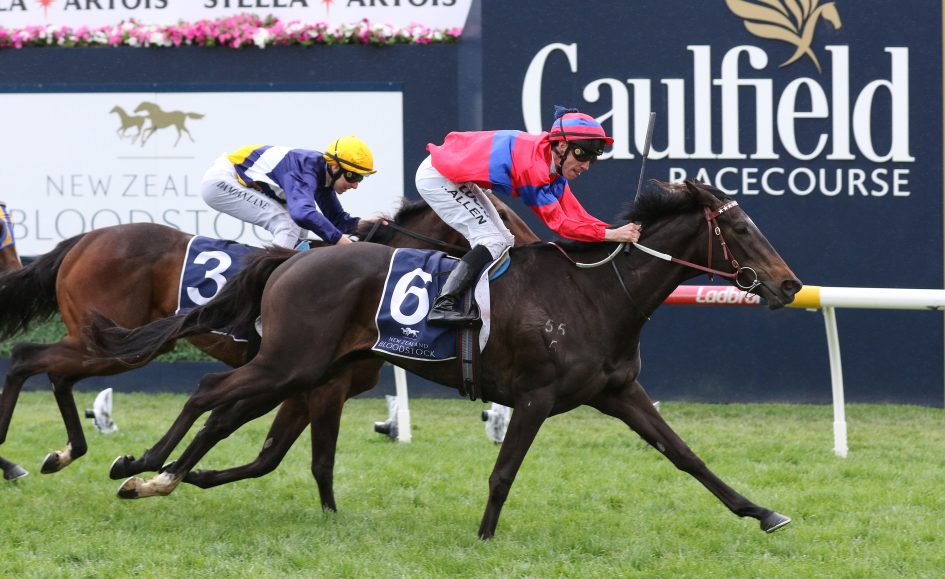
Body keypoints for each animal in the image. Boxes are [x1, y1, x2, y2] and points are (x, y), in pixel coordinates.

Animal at [0, 196, 538, 489]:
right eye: (501, 213)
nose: (533, 246)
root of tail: (83, 241)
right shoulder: (315, 383)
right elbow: (308, 458)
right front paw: (158, 468)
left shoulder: (296, 383)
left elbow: (255, 442)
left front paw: (166, 470)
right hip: (113, 344)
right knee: (28, 359)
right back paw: (14, 459)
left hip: (104, 343)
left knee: (55, 374)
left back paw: (60, 453)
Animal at [88, 180, 802, 539]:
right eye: (741, 229)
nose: (790, 285)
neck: (595, 293)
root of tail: (291, 260)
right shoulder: (536, 398)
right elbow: (504, 472)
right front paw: (485, 537)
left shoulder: (618, 392)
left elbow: (686, 456)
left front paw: (762, 512)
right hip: (290, 363)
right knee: (210, 389)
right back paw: (140, 467)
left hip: (305, 369)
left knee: (228, 409)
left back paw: (158, 474)